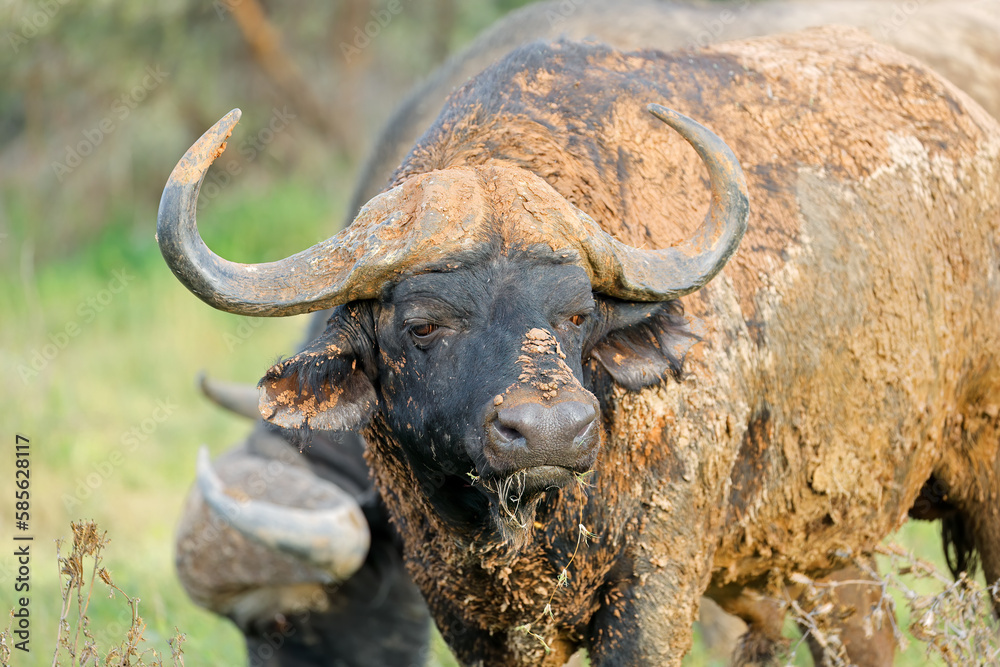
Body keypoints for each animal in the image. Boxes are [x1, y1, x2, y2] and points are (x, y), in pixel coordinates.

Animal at [163, 18, 1000, 667]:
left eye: (575, 315)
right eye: (424, 323)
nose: (550, 431)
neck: (528, 523)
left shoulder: (658, 583)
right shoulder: (467, 610)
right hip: (817, 529)